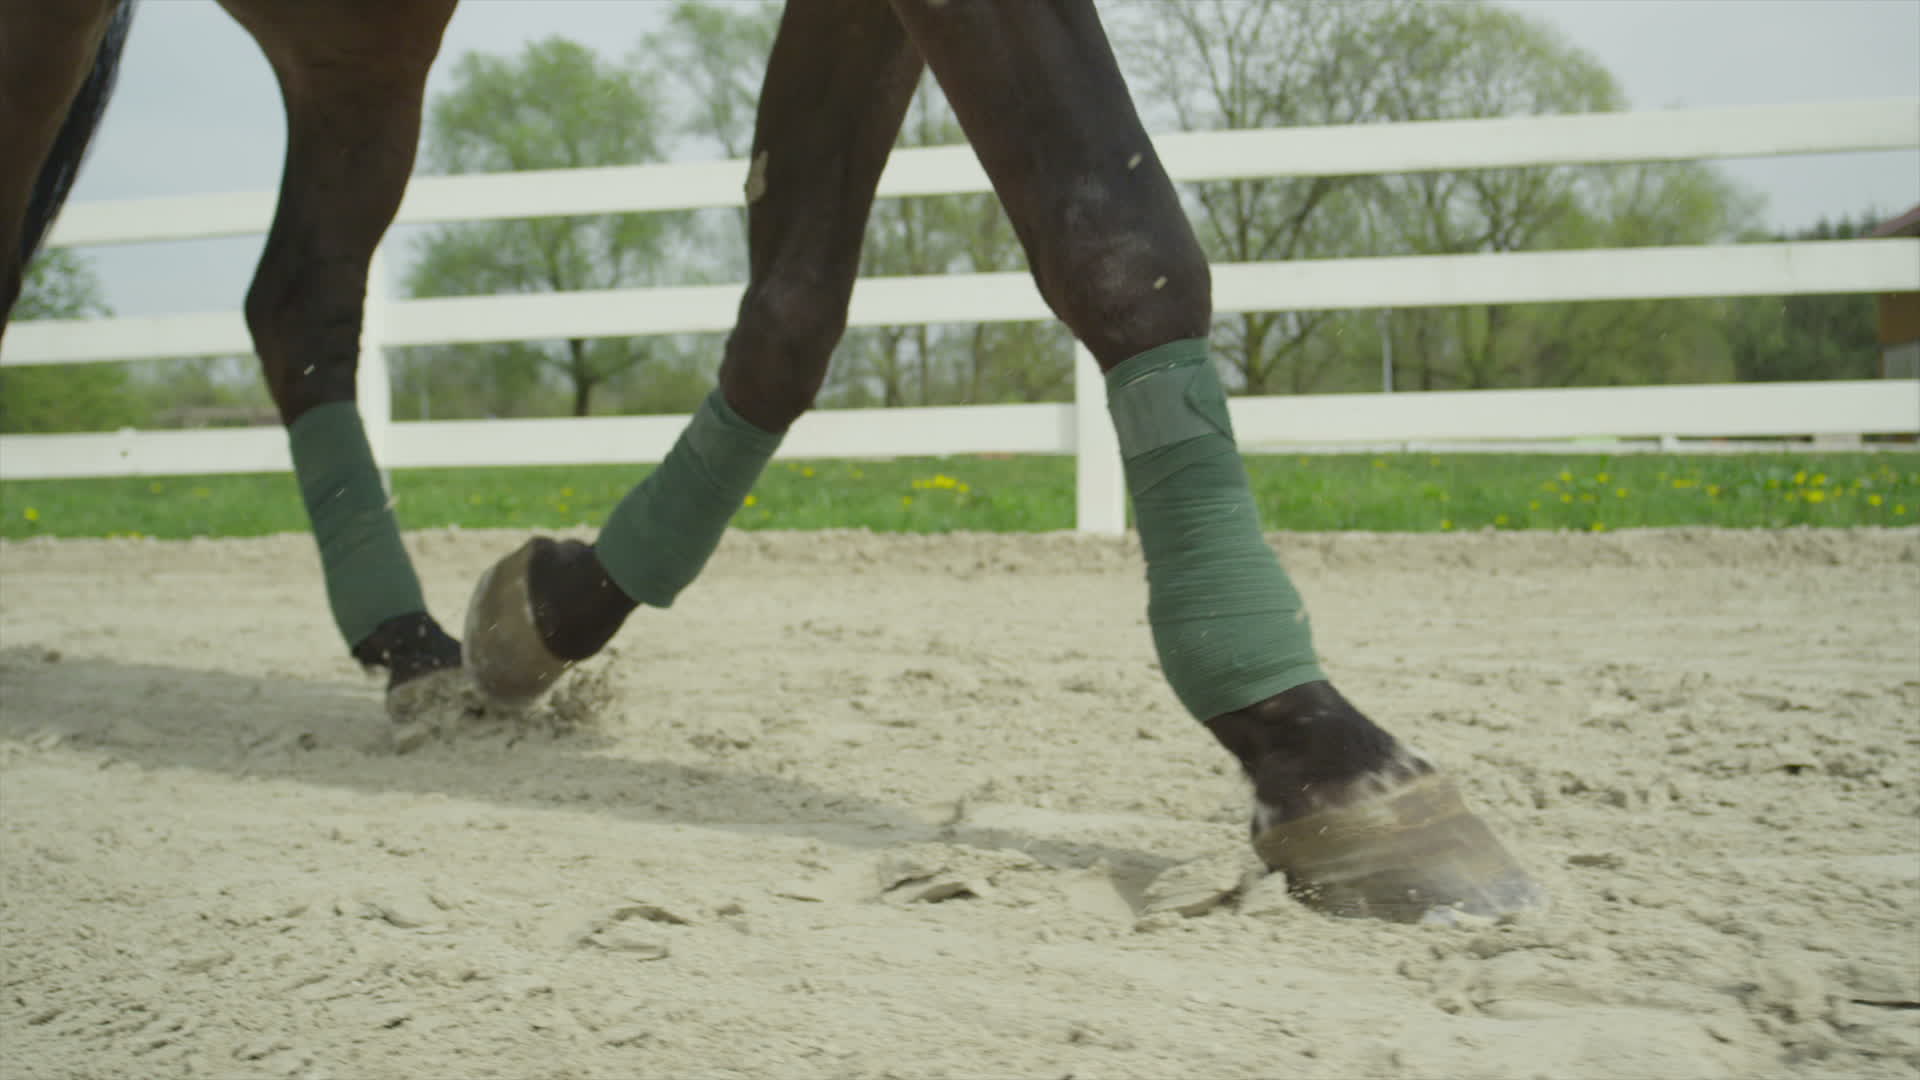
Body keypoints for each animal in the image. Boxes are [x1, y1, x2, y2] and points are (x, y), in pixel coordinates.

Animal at [0, 2, 1536, 926]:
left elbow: (794, 302)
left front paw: (553, 607)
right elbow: (1114, 226)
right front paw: (1319, 745)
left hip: (359, 38)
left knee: (300, 304)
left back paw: (410, 643)